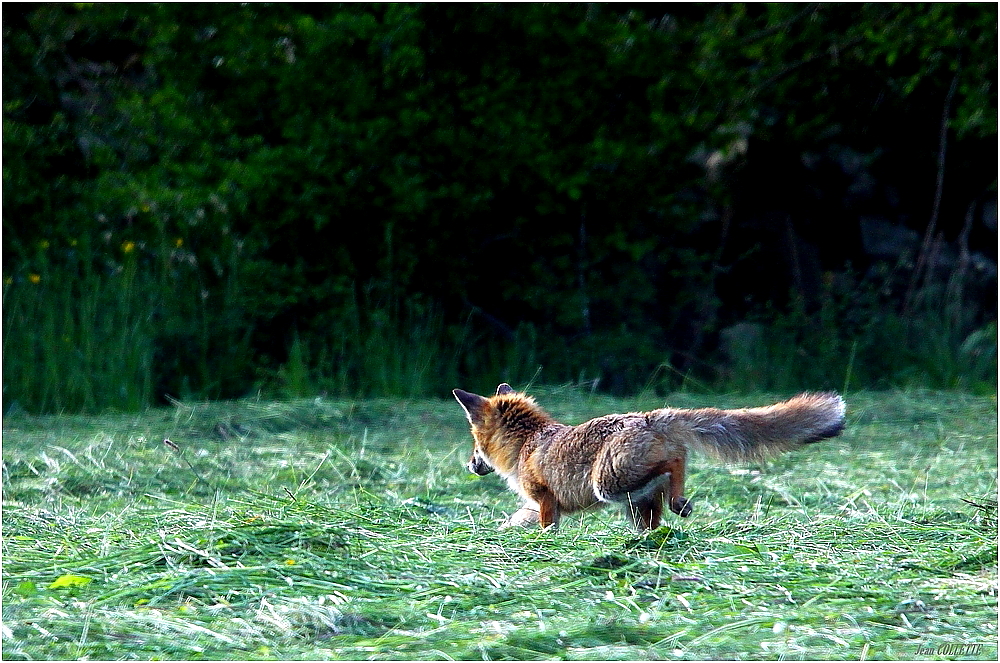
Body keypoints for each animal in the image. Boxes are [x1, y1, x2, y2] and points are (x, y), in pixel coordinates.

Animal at [454, 386, 844, 532]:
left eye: (474, 444)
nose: (471, 466)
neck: (527, 444)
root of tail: (649, 416)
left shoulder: (545, 501)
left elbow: (547, 527)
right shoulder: (535, 506)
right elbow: (514, 522)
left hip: (609, 485)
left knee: (674, 464)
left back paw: (681, 500)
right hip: (636, 500)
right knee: (657, 510)